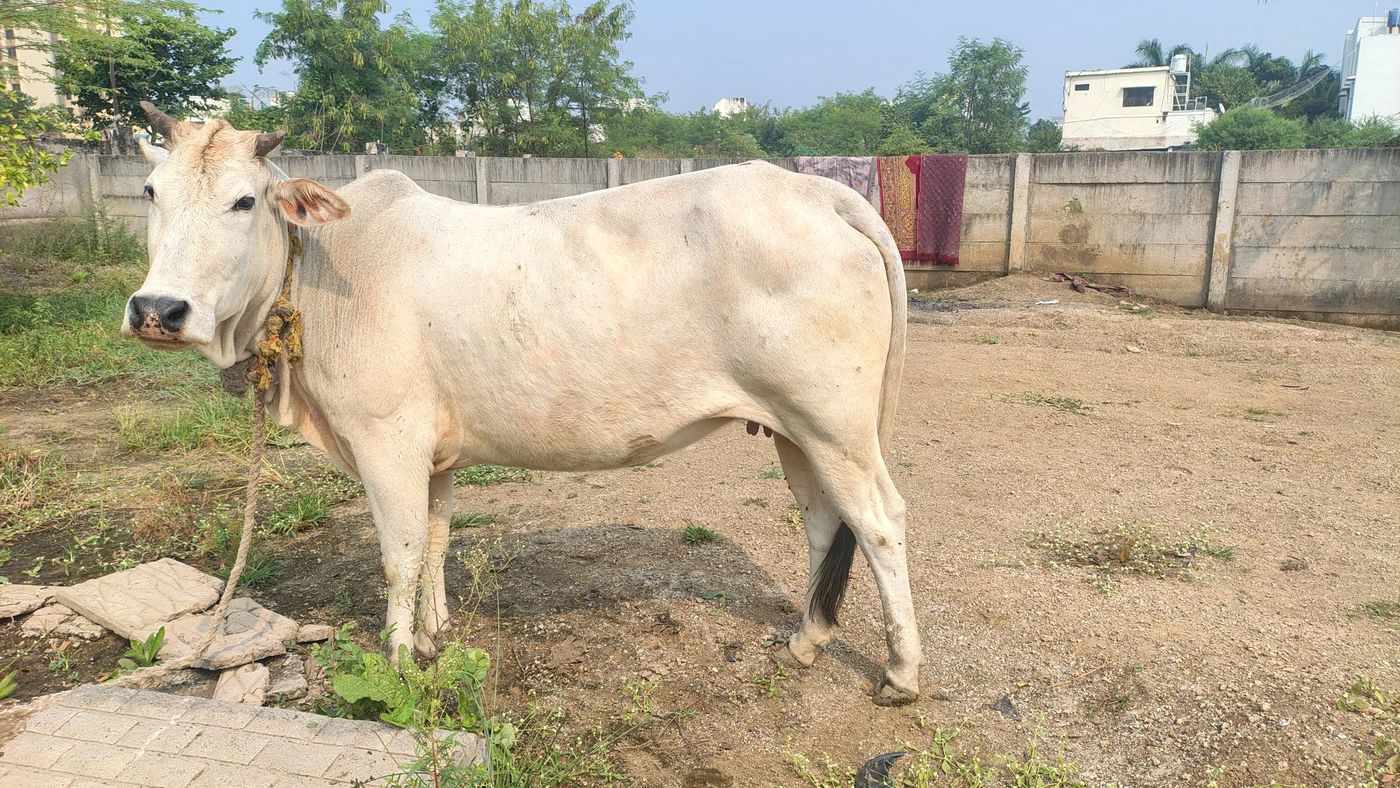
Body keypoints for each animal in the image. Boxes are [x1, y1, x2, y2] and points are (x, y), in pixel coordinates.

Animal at [124, 103, 921, 705]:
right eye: (152, 191)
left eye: (244, 200)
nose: (158, 309)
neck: (321, 267)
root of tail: (823, 193)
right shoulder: (435, 451)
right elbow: (437, 539)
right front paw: (434, 631)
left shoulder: (387, 440)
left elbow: (399, 554)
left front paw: (401, 660)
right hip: (794, 428)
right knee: (824, 521)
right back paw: (806, 640)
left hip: (835, 425)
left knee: (879, 522)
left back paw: (900, 672)